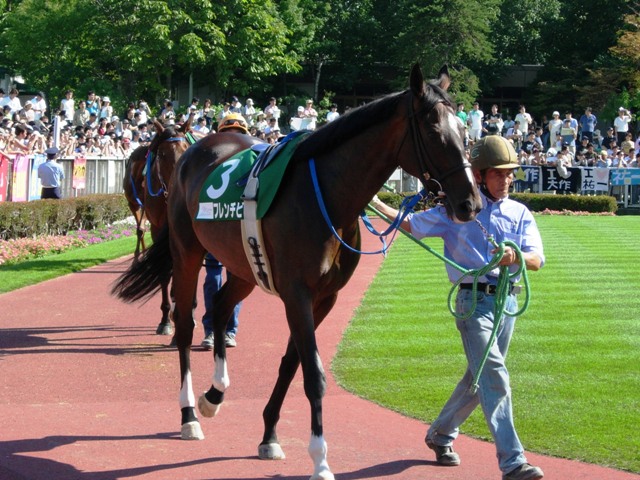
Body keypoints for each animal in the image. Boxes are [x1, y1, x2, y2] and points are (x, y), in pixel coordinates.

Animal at [112, 64, 480, 480]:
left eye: (465, 131)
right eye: (434, 131)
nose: (471, 202)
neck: (328, 196)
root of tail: (193, 152)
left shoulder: (324, 297)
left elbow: (291, 362)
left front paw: (269, 434)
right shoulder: (297, 293)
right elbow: (314, 375)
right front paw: (320, 459)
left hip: (245, 264)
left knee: (219, 308)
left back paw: (215, 392)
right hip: (186, 250)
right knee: (187, 323)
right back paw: (189, 412)